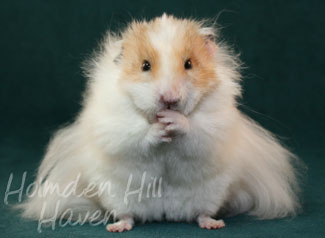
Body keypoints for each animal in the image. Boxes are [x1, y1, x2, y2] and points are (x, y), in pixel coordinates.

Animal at [19, 13, 300, 231]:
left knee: (201, 213)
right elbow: (137, 134)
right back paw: (117, 227)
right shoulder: (116, 126)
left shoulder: (215, 125)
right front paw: (159, 127)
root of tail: (164, 212)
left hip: (210, 194)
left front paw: (173, 120)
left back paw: (213, 224)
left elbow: (194, 129)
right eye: (145, 65)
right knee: (128, 215)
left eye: (189, 64)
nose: (169, 99)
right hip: (119, 196)